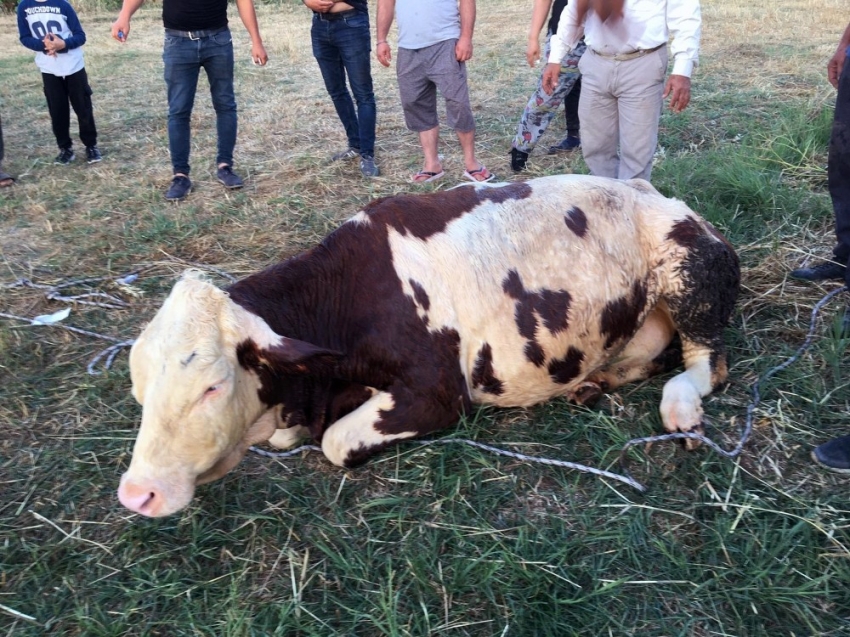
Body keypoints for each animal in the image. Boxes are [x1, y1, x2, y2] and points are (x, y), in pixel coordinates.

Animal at [116, 174, 740, 516]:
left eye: (212, 386)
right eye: (139, 390)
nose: (137, 494)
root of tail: (653, 191)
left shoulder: (440, 393)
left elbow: (336, 444)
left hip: (691, 276)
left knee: (707, 364)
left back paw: (681, 410)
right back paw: (594, 382)